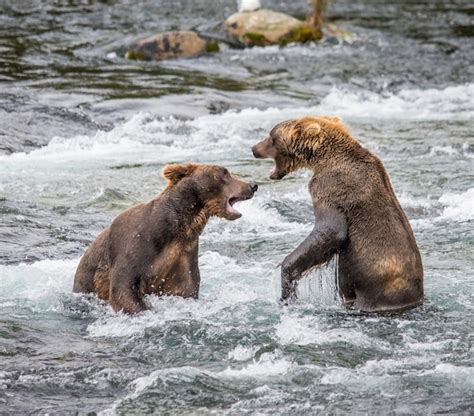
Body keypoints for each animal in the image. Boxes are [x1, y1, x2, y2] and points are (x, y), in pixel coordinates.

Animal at [73, 164, 258, 314]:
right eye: (224, 173)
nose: (252, 185)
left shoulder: (183, 255)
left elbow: (185, 288)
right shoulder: (136, 244)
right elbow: (123, 288)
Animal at [252, 116, 422, 312]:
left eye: (271, 137)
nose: (254, 148)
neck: (324, 158)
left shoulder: (330, 188)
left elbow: (332, 231)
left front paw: (286, 283)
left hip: (375, 290)